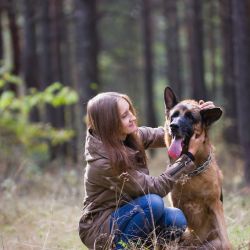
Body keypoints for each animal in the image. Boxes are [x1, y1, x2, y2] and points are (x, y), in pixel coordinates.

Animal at [164, 87, 230, 249]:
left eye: (190, 117)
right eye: (174, 116)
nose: (173, 126)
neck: (193, 171)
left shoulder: (215, 205)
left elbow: (226, 241)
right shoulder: (178, 206)